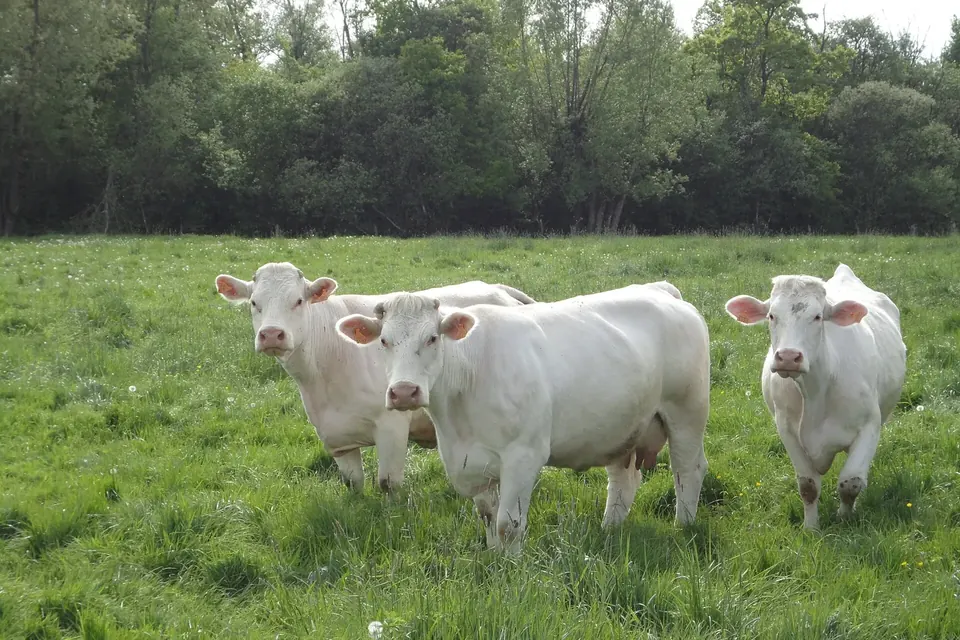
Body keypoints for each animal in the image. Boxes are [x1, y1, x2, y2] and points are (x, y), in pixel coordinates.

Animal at [214, 262, 536, 493]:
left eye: (298, 301)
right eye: (254, 303)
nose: (271, 334)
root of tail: (496, 287)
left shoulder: (392, 426)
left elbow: (388, 483)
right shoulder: (336, 438)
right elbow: (353, 484)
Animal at [335, 282, 711, 554]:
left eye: (432, 338)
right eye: (384, 341)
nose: (403, 392)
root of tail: (660, 289)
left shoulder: (523, 456)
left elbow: (508, 524)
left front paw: (512, 569)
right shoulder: (468, 463)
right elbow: (488, 517)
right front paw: (494, 558)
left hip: (687, 412)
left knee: (688, 470)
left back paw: (684, 526)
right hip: (624, 426)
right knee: (623, 480)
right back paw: (609, 530)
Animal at [724, 263, 906, 530]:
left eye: (818, 316)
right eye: (771, 316)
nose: (788, 357)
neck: (816, 392)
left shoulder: (870, 426)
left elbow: (851, 482)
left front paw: (845, 518)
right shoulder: (786, 430)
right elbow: (808, 486)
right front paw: (811, 528)